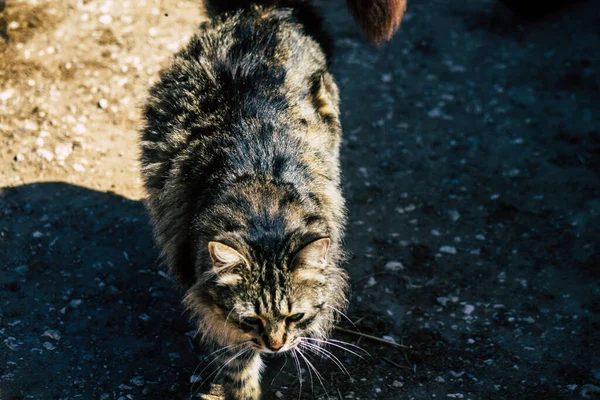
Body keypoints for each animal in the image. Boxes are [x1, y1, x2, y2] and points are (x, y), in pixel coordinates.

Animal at [138, 1, 406, 398]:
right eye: (252, 319)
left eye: (295, 316)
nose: (276, 346)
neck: (263, 207)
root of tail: (262, 10)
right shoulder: (216, 311)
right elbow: (238, 366)